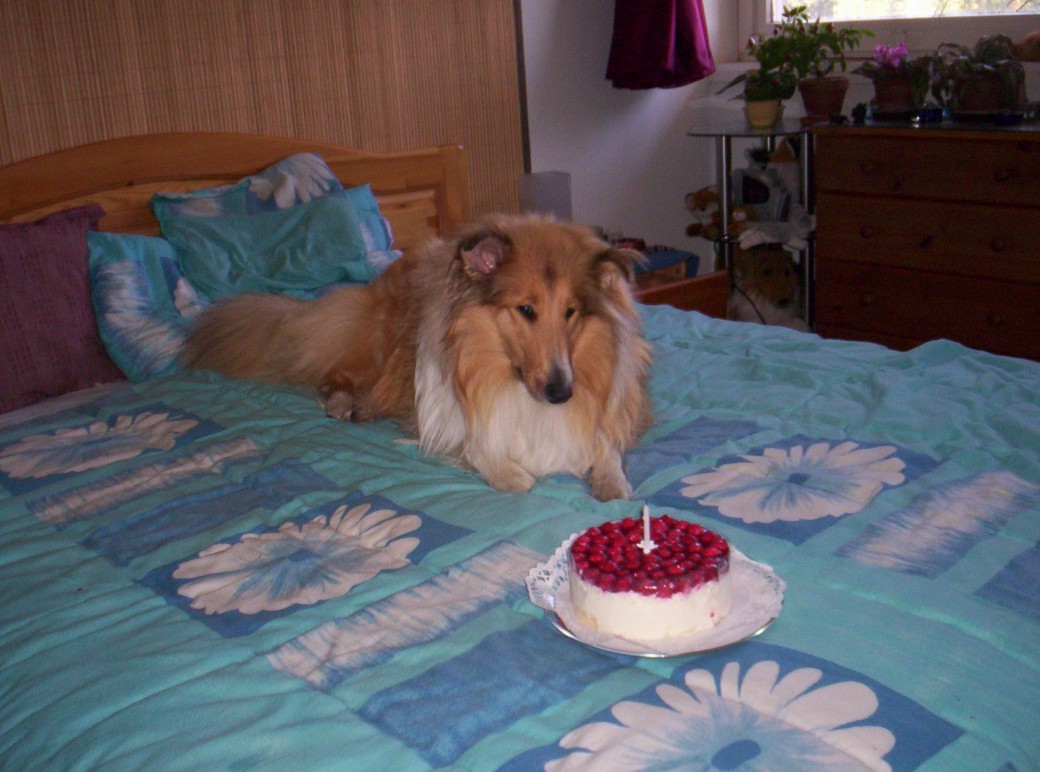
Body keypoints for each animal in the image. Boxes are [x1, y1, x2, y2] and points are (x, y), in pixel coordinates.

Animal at [182, 214, 652, 501]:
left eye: (571, 312)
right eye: (526, 309)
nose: (561, 392)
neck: (509, 379)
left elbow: (606, 447)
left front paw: (613, 482)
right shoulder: (446, 416)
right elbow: (479, 446)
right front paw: (512, 475)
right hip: (377, 342)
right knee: (332, 375)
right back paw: (344, 404)